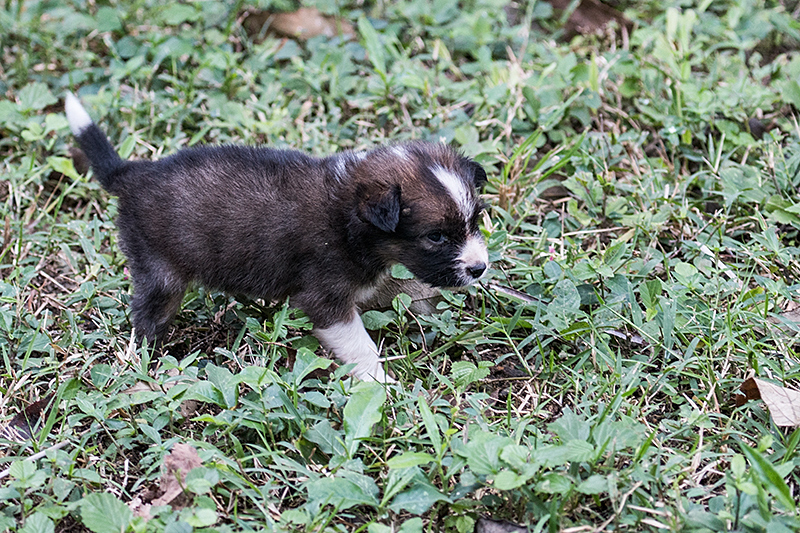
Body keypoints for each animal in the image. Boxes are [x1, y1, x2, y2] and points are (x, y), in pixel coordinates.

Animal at [65, 93, 488, 380]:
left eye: (476, 220)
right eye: (436, 236)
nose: (480, 269)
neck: (348, 214)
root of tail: (131, 175)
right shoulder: (325, 301)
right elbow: (361, 346)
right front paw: (382, 385)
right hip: (160, 273)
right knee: (146, 318)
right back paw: (141, 361)